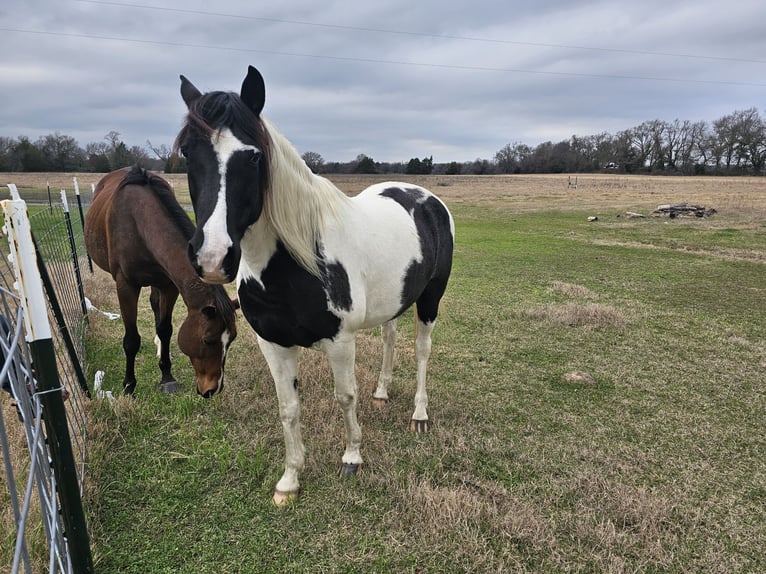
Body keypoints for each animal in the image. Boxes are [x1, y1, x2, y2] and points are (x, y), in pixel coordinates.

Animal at [85, 166, 238, 398]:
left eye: (232, 339)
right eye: (207, 340)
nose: (213, 389)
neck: (139, 223)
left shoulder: (168, 286)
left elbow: (165, 329)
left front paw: (167, 376)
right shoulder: (126, 286)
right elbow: (132, 339)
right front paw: (129, 386)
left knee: (155, 307)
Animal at [178, 66, 456, 504]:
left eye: (253, 156)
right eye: (188, 153)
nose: (213, 257)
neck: (294, 262)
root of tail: (427, 199)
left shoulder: (340, 342)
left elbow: (345, 396)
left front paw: (352, 458)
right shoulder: (273, 345)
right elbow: (288, 408)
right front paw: (290, 480)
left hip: (431, 298)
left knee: (422, 350)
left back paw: (419, 414)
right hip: (395, 300)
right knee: (391, 338)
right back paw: (382, 392)